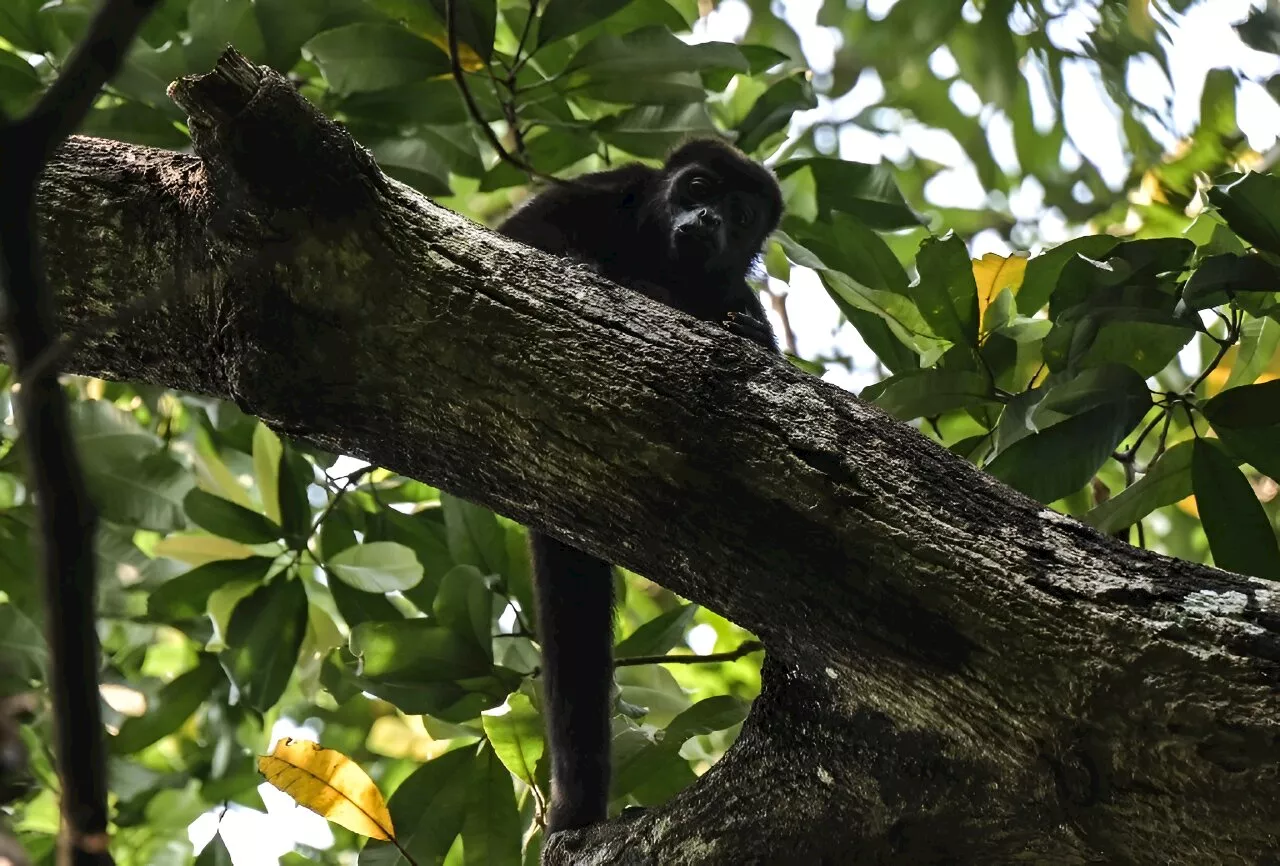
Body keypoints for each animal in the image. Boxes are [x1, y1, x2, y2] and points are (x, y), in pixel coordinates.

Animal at [496, 136, 778, 828]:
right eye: (697, 187)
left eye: (739, 214)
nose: (708, 219)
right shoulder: (607, 188)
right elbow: (516, 237)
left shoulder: (738, 290)